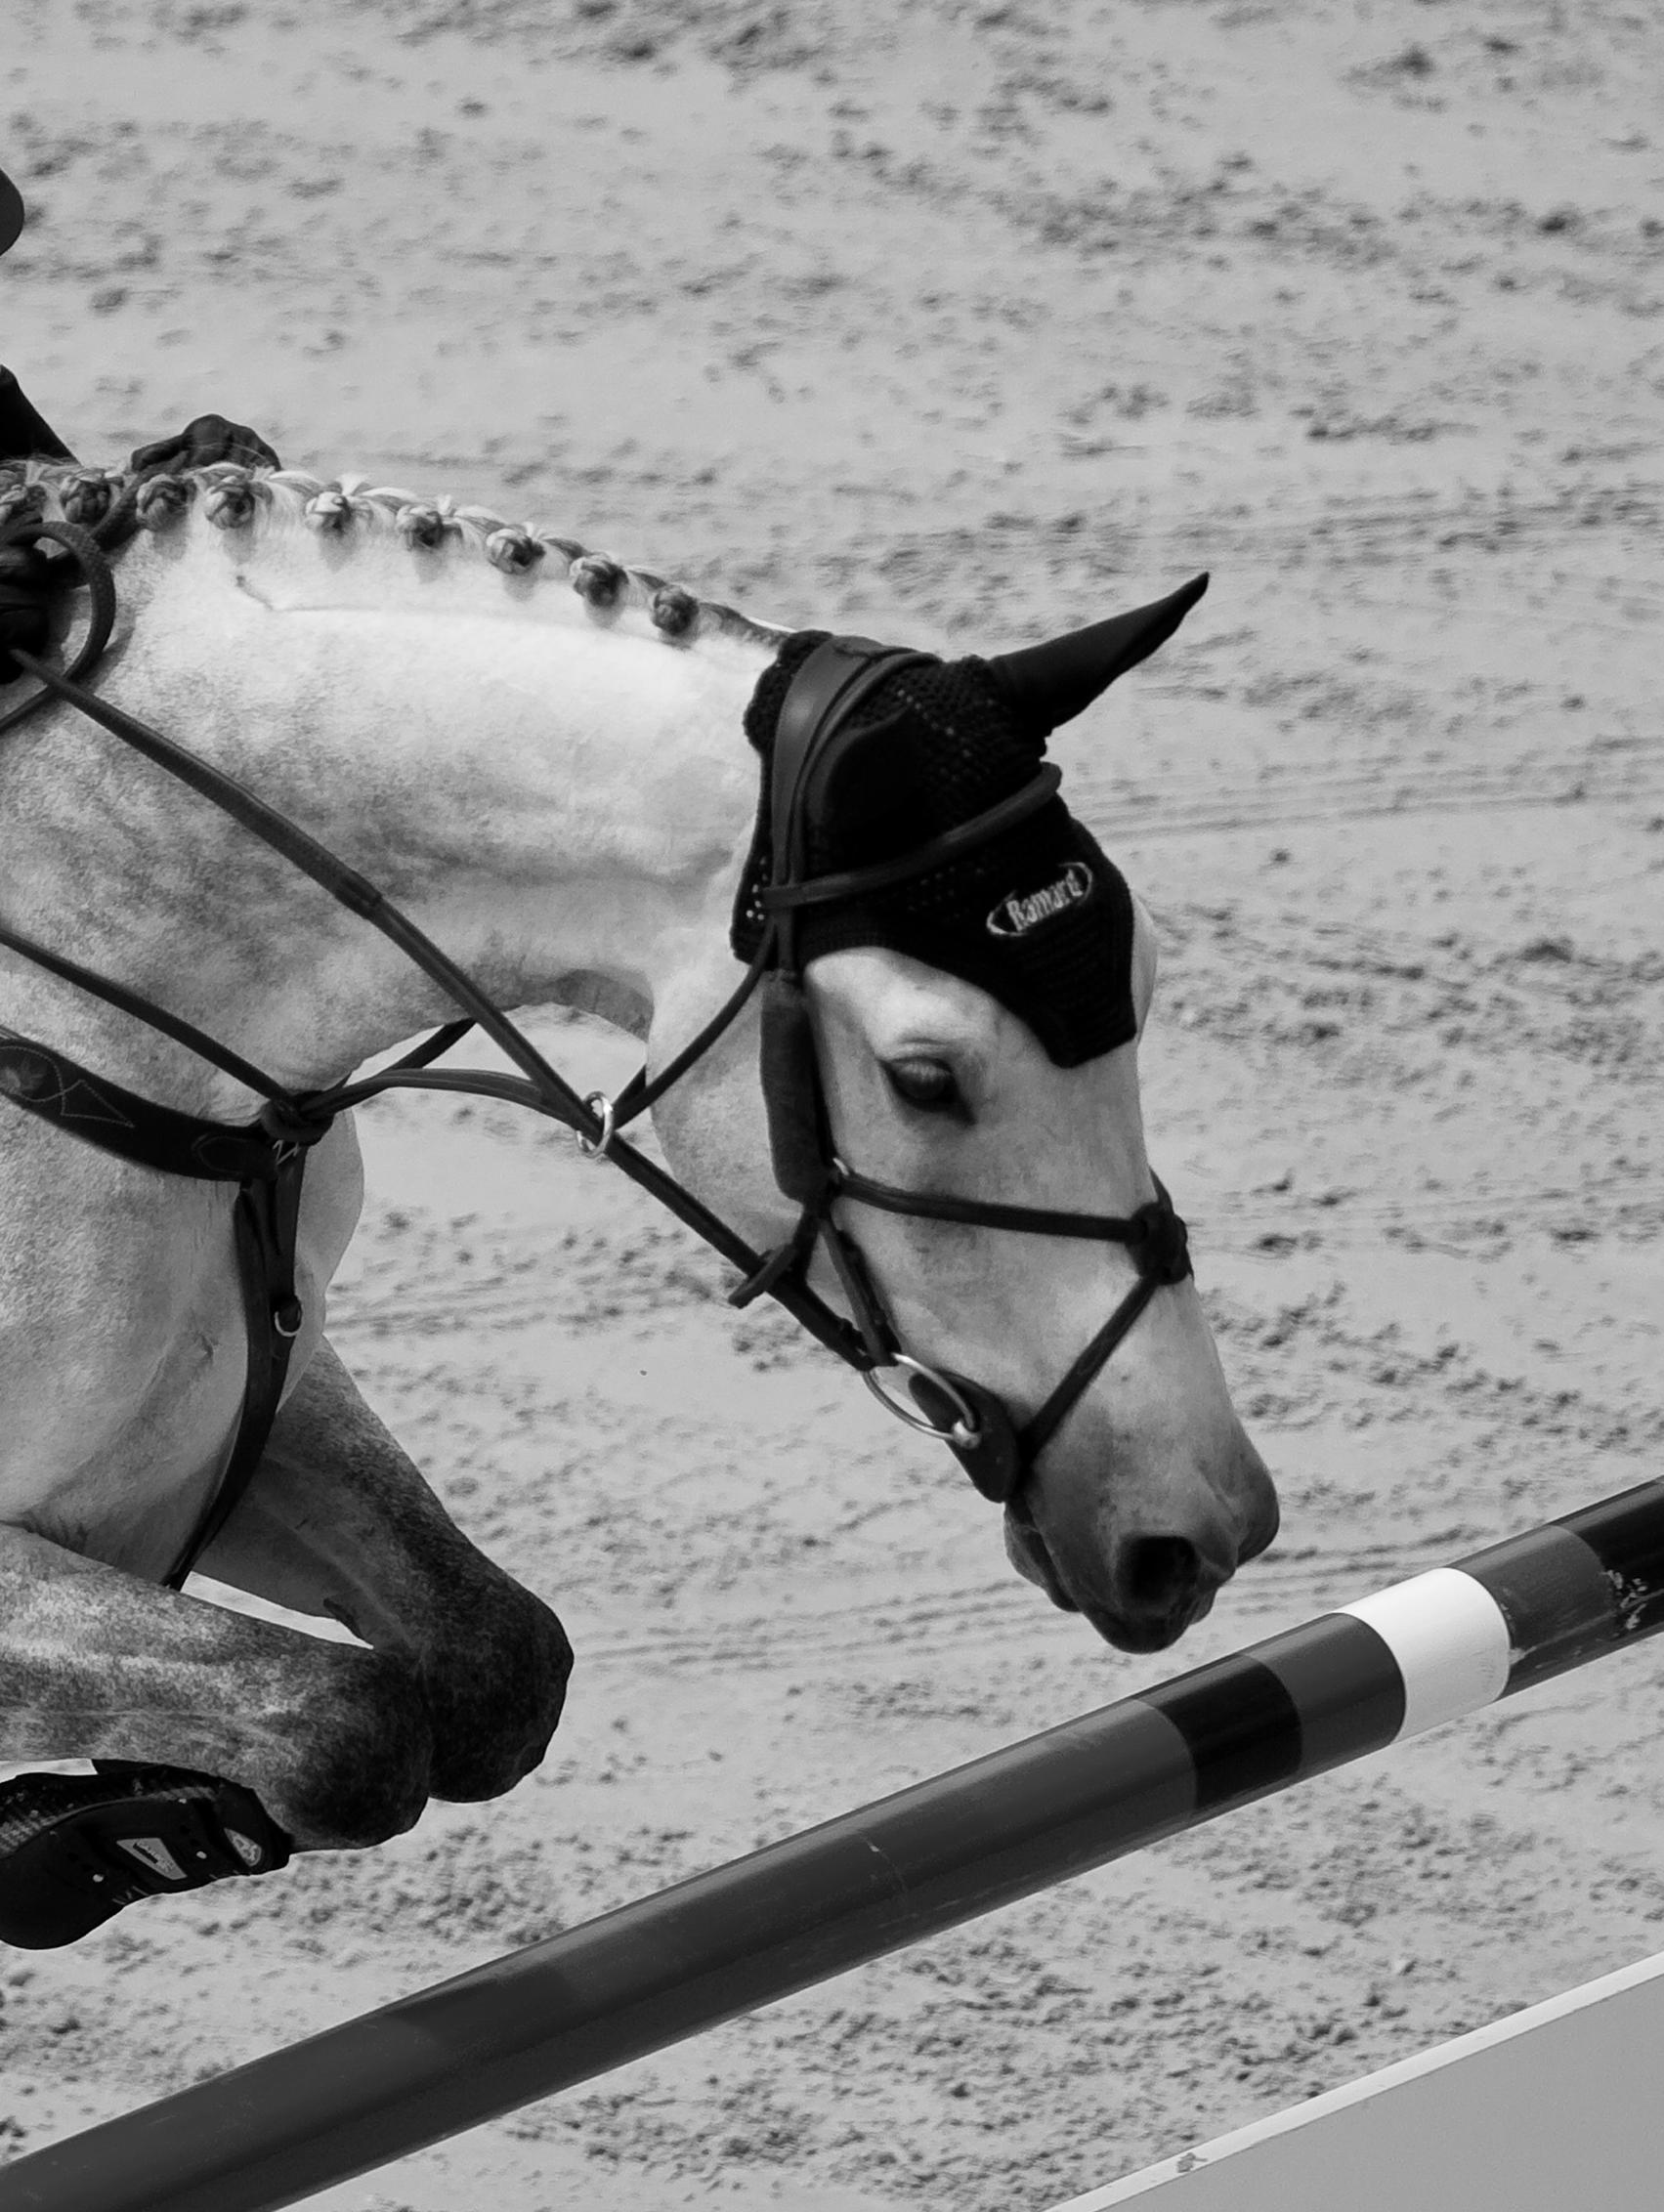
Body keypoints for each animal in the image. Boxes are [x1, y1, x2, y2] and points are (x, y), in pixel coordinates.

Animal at [0, 457, 1276, 1939]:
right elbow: (345, 1725)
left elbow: (491, 1666)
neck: (89, 1011)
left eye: (1146, 986)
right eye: (924, 1078)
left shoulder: (242, 1406)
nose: (1196, 1523)